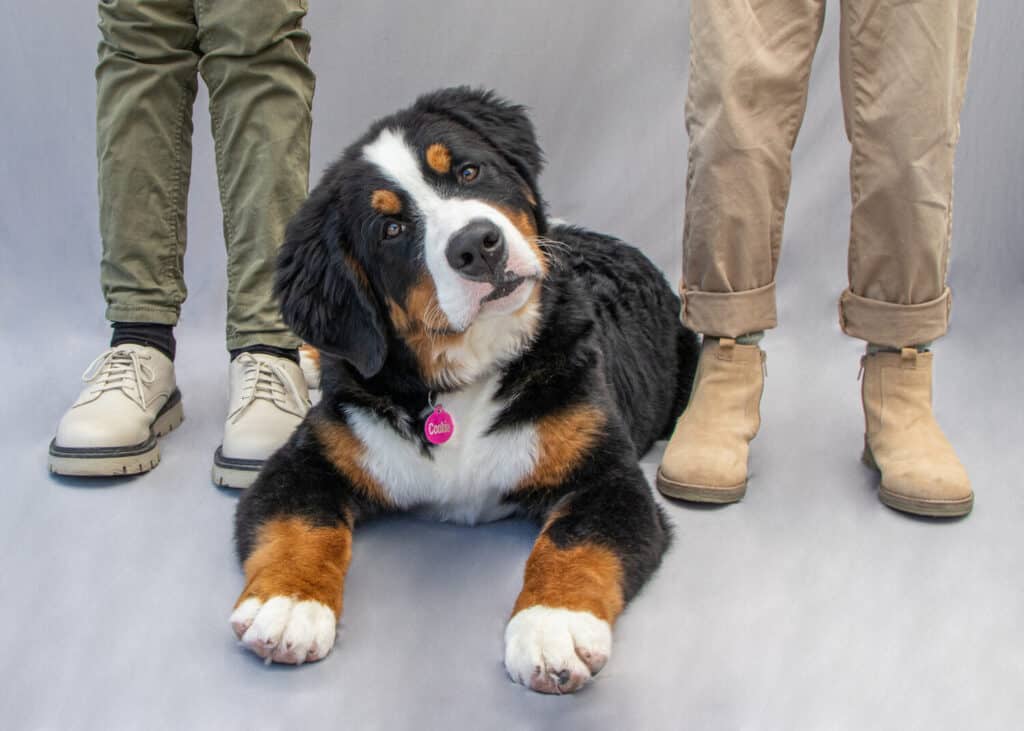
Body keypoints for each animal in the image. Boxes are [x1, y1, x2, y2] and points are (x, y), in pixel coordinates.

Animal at [230, 88, 696, 692]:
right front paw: (287, 604)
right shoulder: (308, 458)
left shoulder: (607, 477)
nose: (478, 245)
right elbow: (300, 523)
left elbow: (574, 542)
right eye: (391, 230)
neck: (466, 376)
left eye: (469, 171)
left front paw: (551, 625)